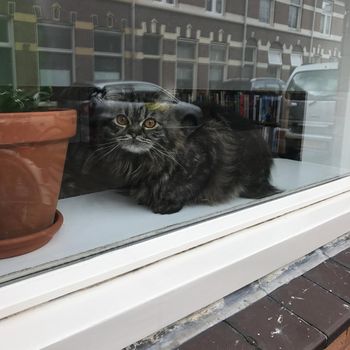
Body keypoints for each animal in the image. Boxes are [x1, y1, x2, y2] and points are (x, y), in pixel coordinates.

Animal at [60, 97, 278, 215]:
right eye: (121, 120)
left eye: (150, 123)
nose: (133, 132)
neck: (143, 162)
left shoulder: (208, 156)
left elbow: (185, 188)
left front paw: (165, 203)